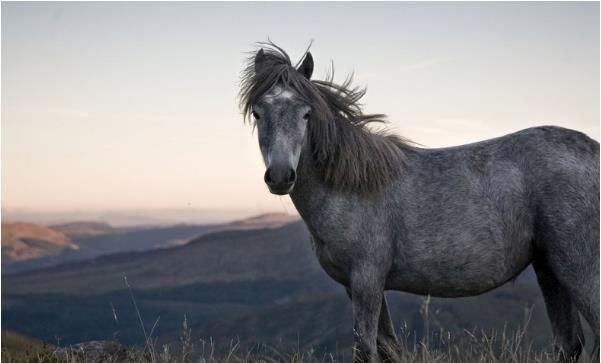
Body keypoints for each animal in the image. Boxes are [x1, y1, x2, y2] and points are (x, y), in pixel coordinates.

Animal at [238, 43, 596, 363]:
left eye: (306, 114)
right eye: (258, 112)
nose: (281, 176)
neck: (350, 187)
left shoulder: (367, 281)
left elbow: (366, 350)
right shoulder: (359, 286)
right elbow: (388, 349)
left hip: (579, 269)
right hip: (549, 268)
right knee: (568, 343)